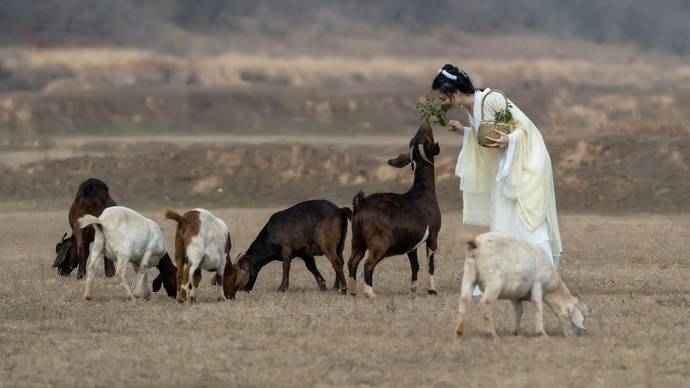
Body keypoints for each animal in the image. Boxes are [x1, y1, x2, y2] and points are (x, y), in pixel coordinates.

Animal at [344, 123, 440, 298]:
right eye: (427, 139)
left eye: (414, 139)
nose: (425, 123)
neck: (423, 189)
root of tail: (361, 204)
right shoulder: (433, 236)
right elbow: (430, 263)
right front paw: (432, 290)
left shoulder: (412, 243)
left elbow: (415, 264)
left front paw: (413, 288)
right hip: (379, 244)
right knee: (368, 264)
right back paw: (370, 293)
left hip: (357, 240)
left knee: (352, 261)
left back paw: (353, 291)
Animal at [452, 232, 584, 338]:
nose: (573, 337)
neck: (552, 288)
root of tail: (477, 244)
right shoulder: (538, 284)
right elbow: (538, 307)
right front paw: (541, 333)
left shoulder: (515, 294)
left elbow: (519, 311)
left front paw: (515, 331)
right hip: (494, 280)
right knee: (486, 302)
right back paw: (491, 333)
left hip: (469, 274)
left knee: (463, 299)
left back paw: (459, 331)